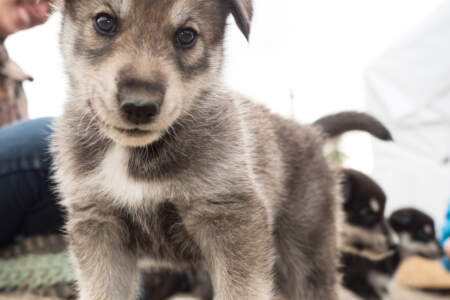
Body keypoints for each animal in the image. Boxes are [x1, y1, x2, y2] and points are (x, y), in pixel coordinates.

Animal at [51, 1, 342, 298]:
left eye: (186, 35)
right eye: (104, 22)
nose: (139, 106)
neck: (136, 155)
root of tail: (309, 131)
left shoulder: (231, 218)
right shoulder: (99, 223)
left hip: (307, 252)